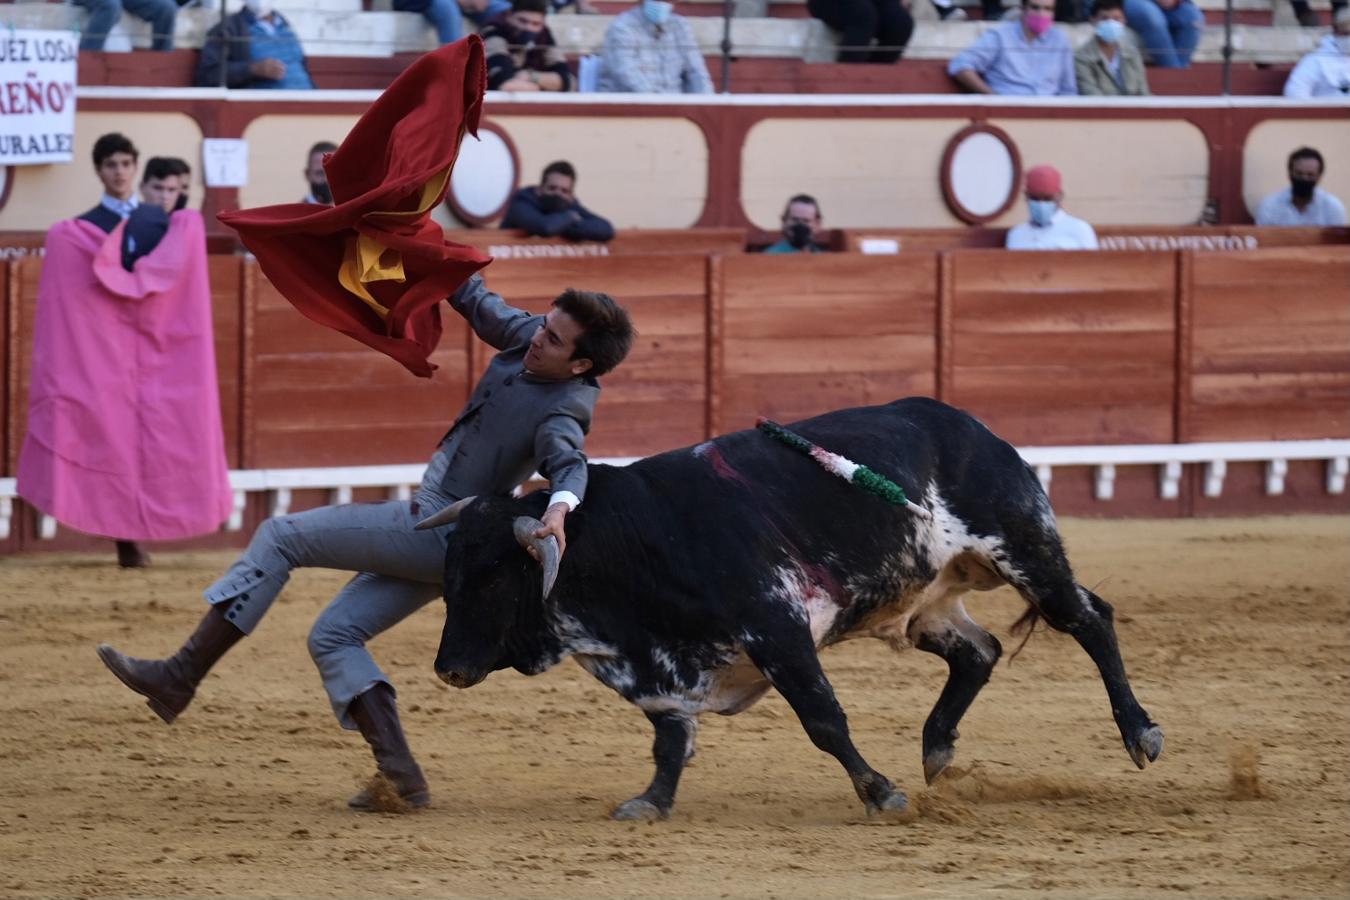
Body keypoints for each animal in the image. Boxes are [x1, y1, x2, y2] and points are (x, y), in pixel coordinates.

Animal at [418, 396, 1161, 820]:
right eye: (448, 576)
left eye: (491, 578)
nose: (447, 668)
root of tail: (969, 425)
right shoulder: (663, 669)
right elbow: (669, 740)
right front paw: (650, 803)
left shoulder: (777, 629)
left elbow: (823, 720)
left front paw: (880, 794)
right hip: (928, 603)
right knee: (980, 653)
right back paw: (937, 748)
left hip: (1024, 546)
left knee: (1089, 618)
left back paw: (1140, 734)